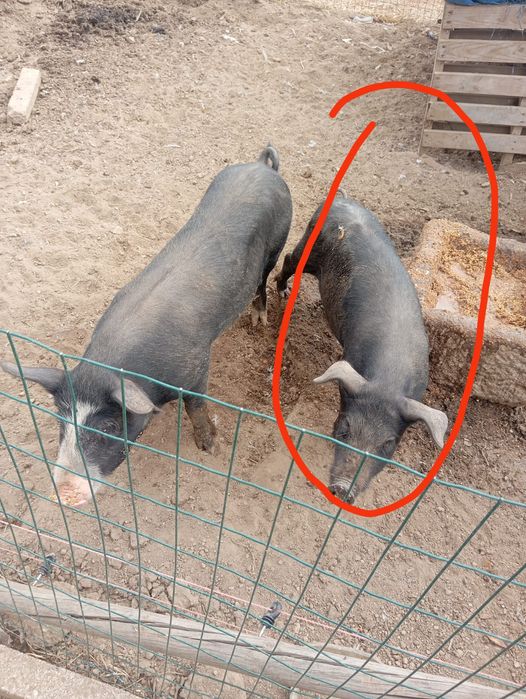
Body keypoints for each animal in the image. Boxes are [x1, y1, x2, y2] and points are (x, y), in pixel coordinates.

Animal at [2, 145, 292, 506]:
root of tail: (263, 168)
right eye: (61, 424)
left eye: (108, 428)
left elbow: (196, 406)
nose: (65, 493)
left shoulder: (197, 365)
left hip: (278, 242)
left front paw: (211, 447)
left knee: (263, 279)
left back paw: (258, 321)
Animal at [275, 191, 448, 503]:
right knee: (289, 259)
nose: (343, 490)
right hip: (310, 245)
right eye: (344, 429)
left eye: (388, 444)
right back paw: (283, 291)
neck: (390, 377)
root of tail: (341, 200)